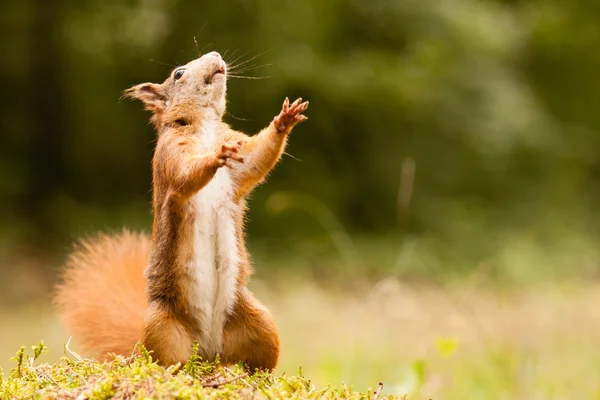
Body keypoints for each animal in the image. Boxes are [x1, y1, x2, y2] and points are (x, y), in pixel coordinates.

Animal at [52, 50, 310, 372]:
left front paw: (284, 120)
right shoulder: (171, 154)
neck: (206, 127)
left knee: (258, 359)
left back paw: (257, 375)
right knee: (165, 359)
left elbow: (257, 158)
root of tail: (209, 352)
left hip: (260, 322)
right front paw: (214, 156)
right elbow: (185, 175)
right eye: (178, 73)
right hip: (160, 325)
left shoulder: (238, 163)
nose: (216, 55)